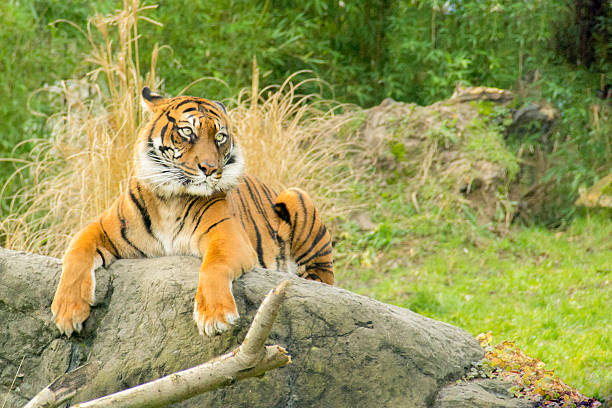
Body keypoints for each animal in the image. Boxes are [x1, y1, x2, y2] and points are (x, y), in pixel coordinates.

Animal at [52, 88, 334, 338]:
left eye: (220, 137)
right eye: (187, 131)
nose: (209, 168)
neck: (170, 198)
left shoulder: (228, 235)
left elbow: (213, 266)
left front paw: (215, 316)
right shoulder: (102, 227)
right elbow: (76, 254)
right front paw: (67, 312)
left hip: (296, 196)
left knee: (323, 278)